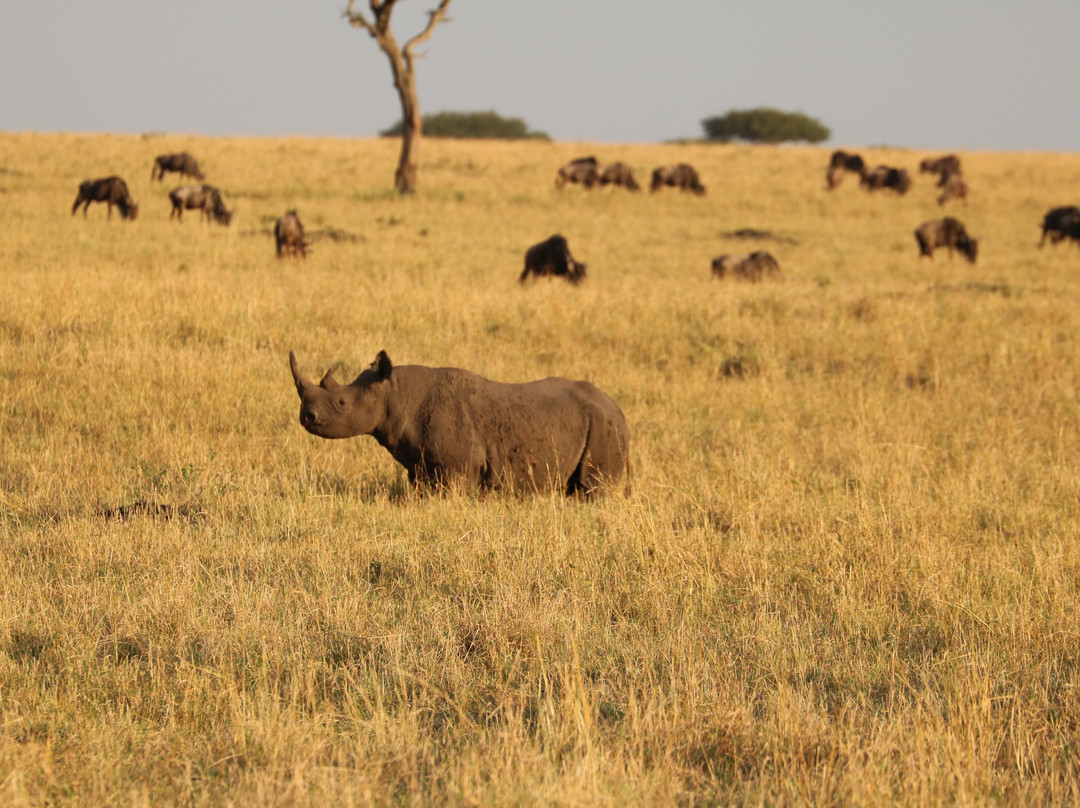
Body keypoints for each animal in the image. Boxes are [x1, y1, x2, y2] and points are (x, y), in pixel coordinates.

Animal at [289, 351, 630, 497]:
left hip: (604, 426)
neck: (394, 393)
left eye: (342, 404)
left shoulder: (459, 468)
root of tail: (619, 409)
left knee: (593, 489)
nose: (306, 417)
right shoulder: (420, 465)